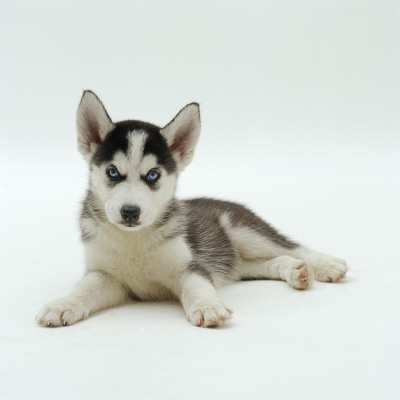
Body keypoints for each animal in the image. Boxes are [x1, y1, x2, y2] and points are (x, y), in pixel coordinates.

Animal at [38, 91, 350, 328]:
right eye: (113, 172)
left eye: (153, 175)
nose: (130, 212)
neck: (134, 241)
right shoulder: (106, 276)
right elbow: (83, 289)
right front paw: (63, 304)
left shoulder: (191, 267)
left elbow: (197, 287)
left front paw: (207, 306)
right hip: (237, 259)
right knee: (268, 261)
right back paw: (295, 272)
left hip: (243, 231)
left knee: (293, 247)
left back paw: (325, 265)